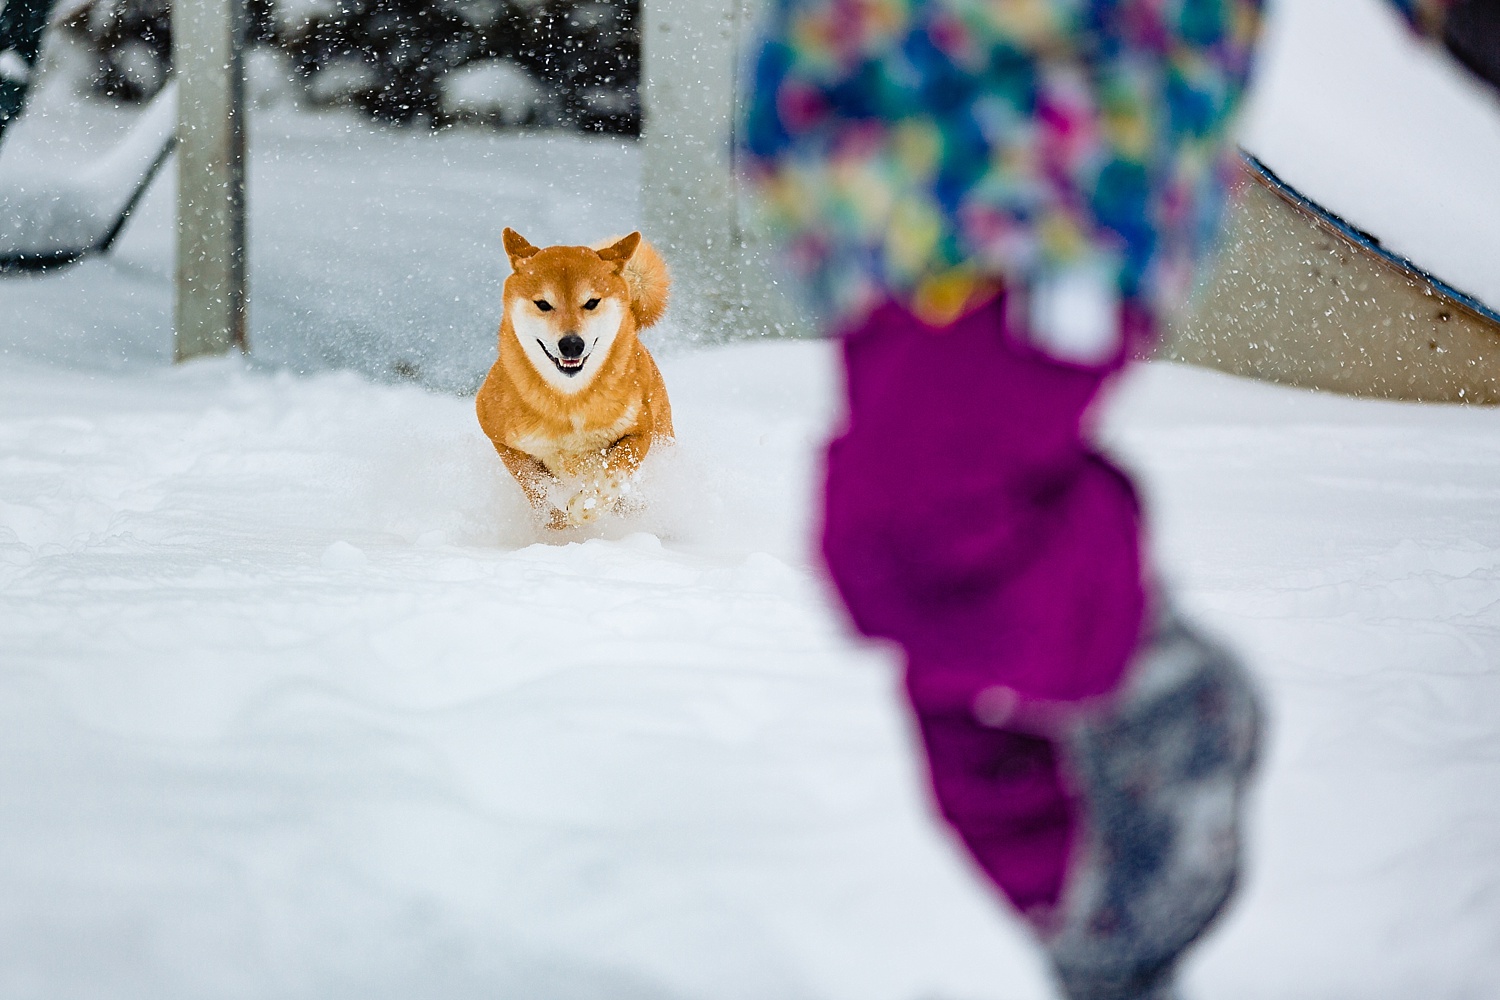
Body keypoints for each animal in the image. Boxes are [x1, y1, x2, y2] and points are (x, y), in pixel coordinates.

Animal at [474, 229, 675, 530]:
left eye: (591, 302)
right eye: (543, 304)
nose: (571, 344)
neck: (569, 399)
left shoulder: (640, 428)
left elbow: (613, 475)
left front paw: (584, 508)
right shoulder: (496, 431)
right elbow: (533, 481)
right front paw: (554, 517)